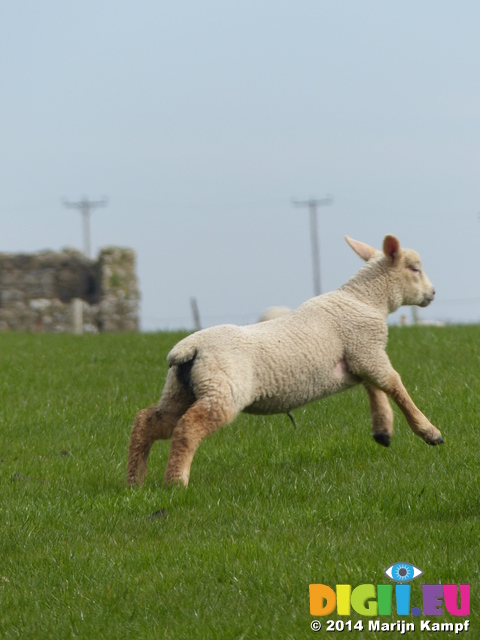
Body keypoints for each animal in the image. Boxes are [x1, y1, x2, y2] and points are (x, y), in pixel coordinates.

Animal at [126, 232, 442, 488]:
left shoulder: (362, 357)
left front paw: (383, 430)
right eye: (415, 268)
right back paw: (175, 483)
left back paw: (135, 482)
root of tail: (188, 348)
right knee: (187, 428)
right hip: (222, 390)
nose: (433, 293)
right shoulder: (369, 351)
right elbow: (395, 386)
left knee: (147, 421)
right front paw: (429, 432)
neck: (365, 300)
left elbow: (374, 389)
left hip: (181, 389)